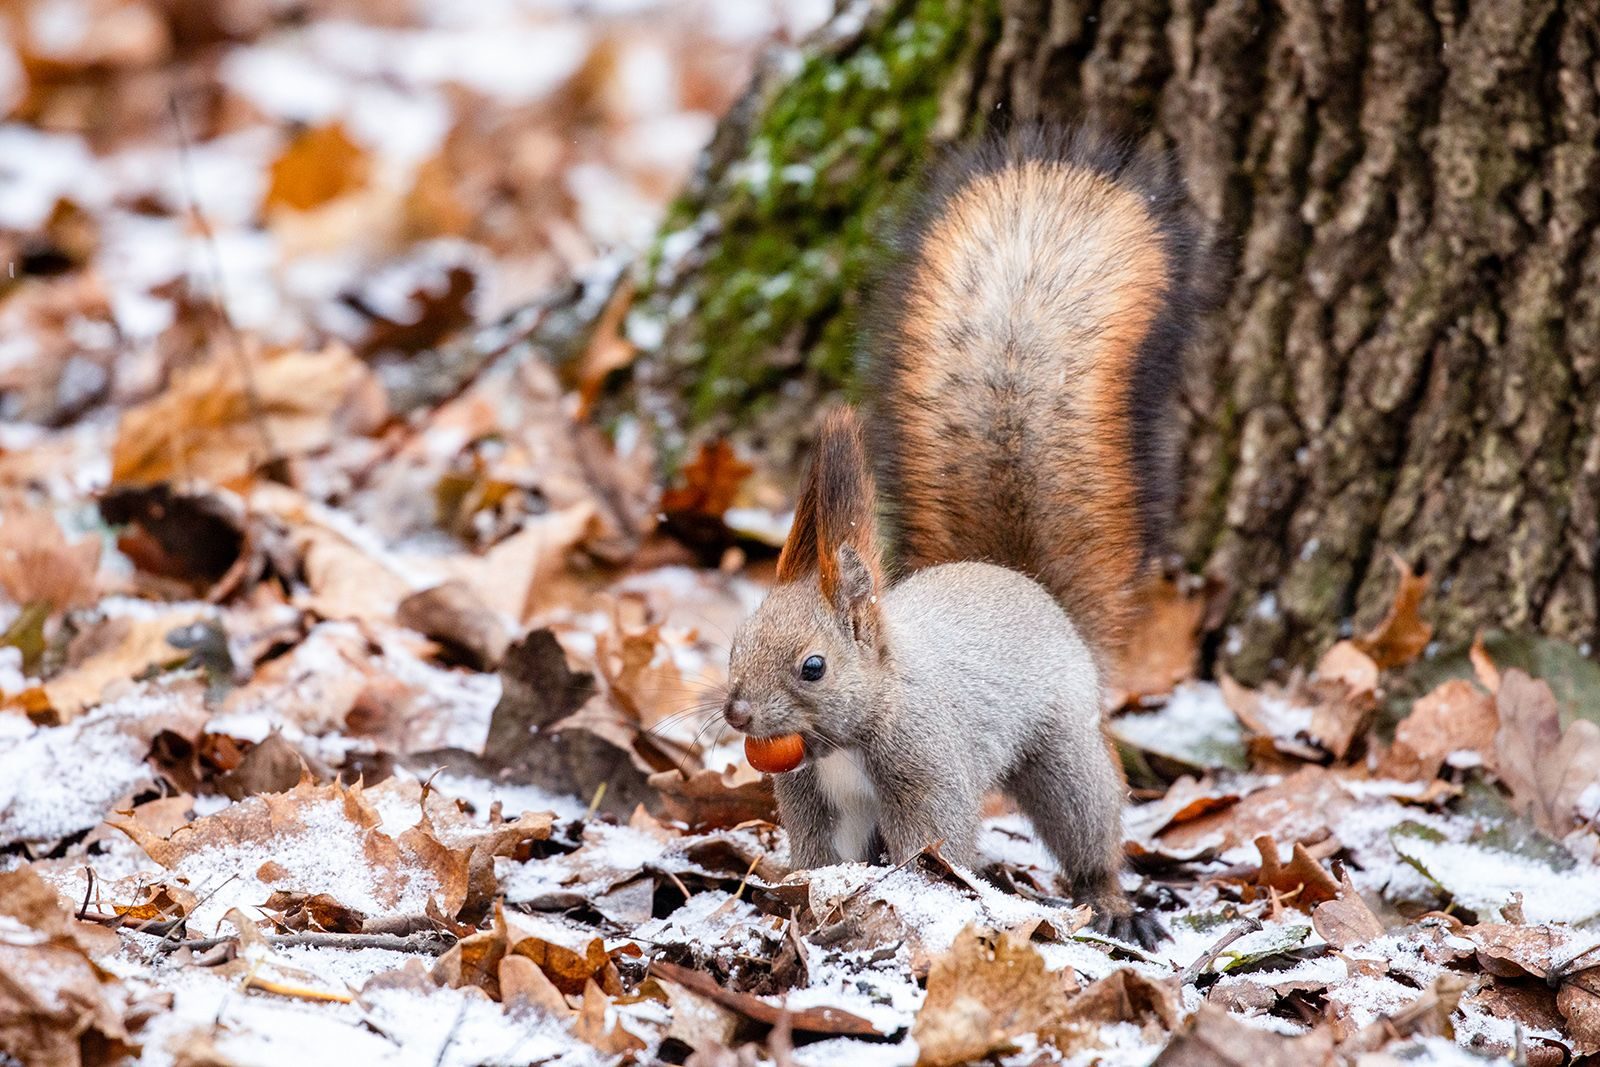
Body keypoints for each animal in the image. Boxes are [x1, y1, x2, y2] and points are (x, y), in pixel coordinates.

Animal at [723, 127, 1203, 940]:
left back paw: (1111, 901)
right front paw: (809, 900)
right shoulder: (815, 799)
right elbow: (821, 857)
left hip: (1063, 750)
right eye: (734, 645)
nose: (738, 714)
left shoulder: (927, 766)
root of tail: (1023, 583)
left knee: (1089, 824)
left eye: (814, 666)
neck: (848, 733)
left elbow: (933, 844)